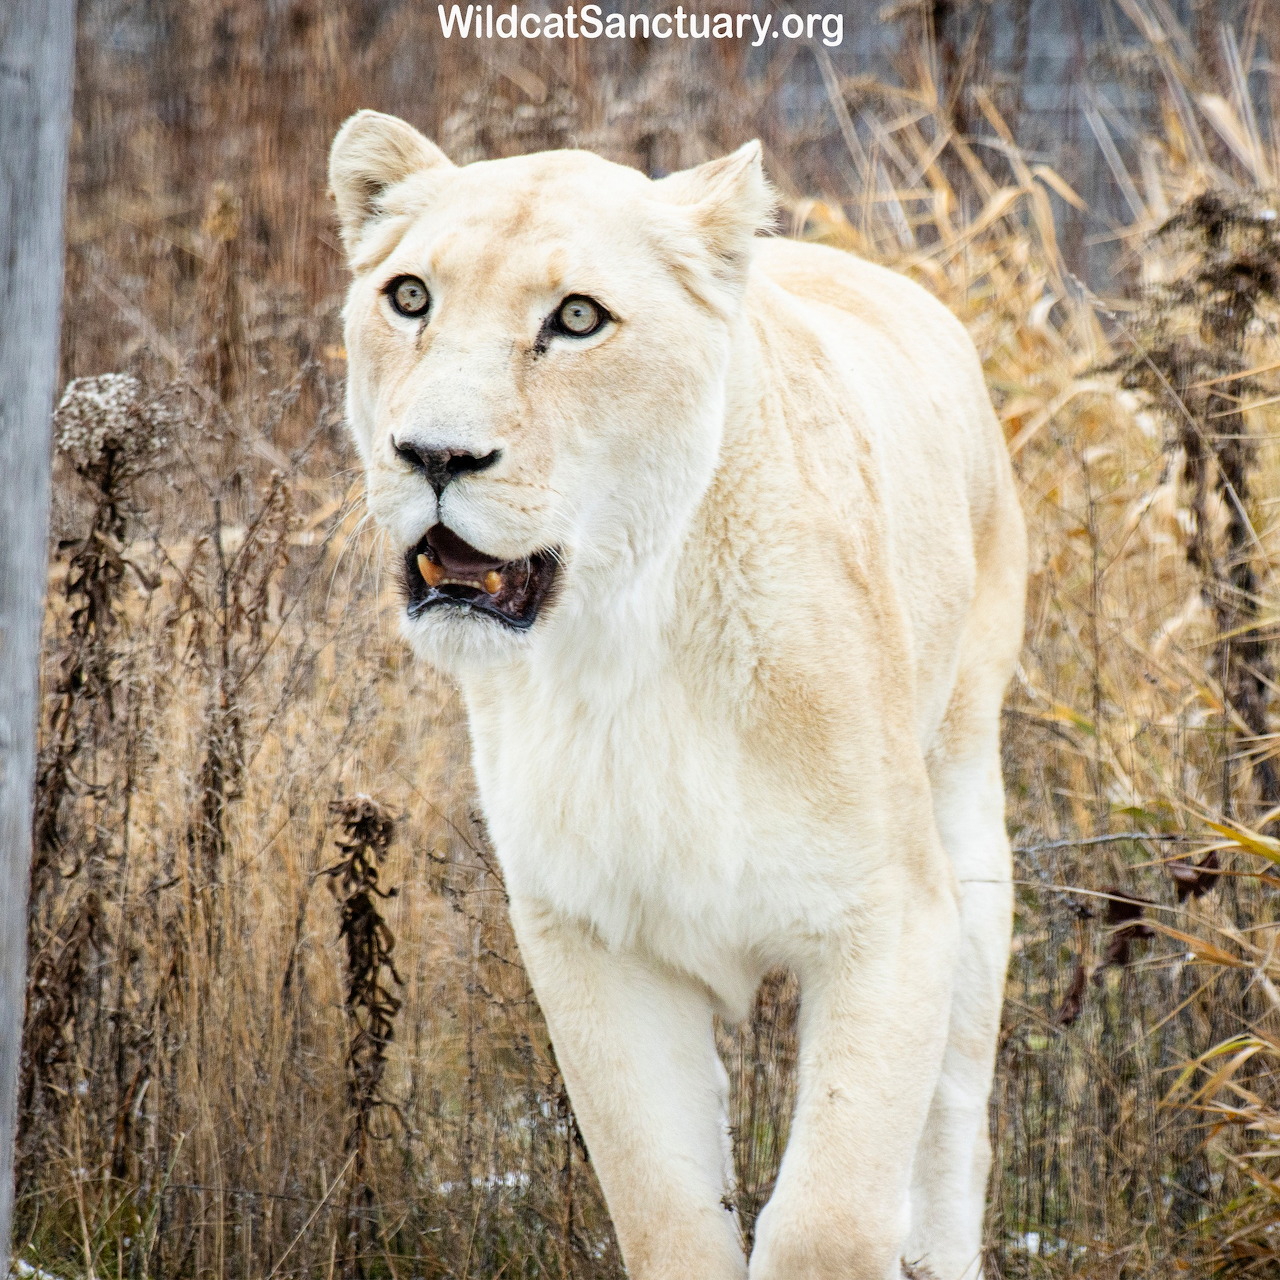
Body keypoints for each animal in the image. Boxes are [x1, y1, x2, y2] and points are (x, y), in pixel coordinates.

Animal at [328, 110, 1027, 1280]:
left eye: (575, 318)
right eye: (410, 296)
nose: (432, 454)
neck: (630, 649)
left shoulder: (889, 917)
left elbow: (830, 1219)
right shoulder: (589, 934)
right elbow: (663, 1206)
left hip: (966, 809)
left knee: (954, 1127)